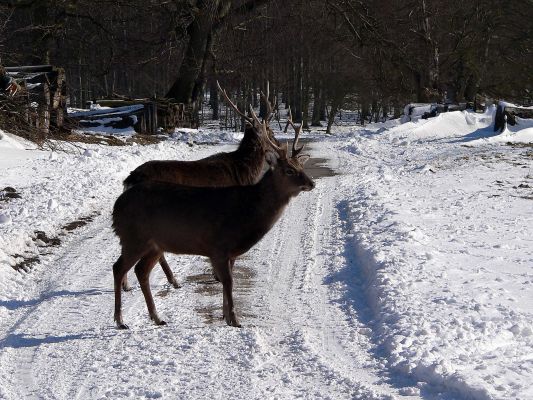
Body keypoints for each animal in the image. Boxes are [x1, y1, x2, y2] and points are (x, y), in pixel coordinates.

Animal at [111, 122, 312, 328]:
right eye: (289, 170)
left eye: (301, 166)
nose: (311, 183)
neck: (248, 213)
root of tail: (117, 205)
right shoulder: (219, 246)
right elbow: (229, 282)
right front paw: (235, 320)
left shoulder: (228, 252)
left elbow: (228, 281)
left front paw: (225, 316)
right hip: (134, 237)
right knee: (118, 267)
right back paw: (120, 320)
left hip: (154, 244)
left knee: (141, 270)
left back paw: (157, 317)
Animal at [120, 83, 278, 292]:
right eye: (270, 132)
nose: (279, 146)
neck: (243, 172)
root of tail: (130, 179)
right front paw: (219, 276)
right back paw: (171, 280)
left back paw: (129, 284)